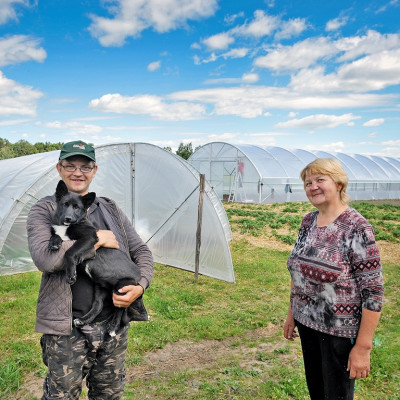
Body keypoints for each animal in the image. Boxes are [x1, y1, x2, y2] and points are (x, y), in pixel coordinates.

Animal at [48, 180, 148, 334]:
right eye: (65, 204)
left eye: (77, 207)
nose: (68, 218)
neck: (66, 226)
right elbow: (56, 235)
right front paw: (54, 242)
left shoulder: (90, 237)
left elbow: (69, 252)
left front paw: (71, 275)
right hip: (100, 288)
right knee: (98, 305)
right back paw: (83, 320)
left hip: (122, 289)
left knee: (121, 309)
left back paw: (113, 327)